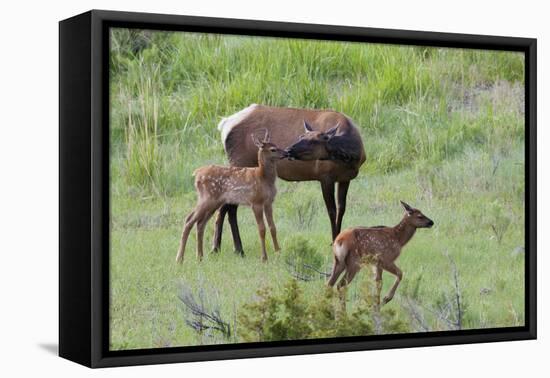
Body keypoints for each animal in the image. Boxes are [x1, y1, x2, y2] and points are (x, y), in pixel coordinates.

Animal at [177, 130, 288, 262]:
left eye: (276, 144)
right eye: (273, 149)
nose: (286, 153)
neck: (263, 178)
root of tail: (197, 174)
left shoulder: (268, 202)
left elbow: (272, 227)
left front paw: (278, 252)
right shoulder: (255, 202)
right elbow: (261, 229)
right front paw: (264, 257)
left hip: (213, 202)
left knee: (200, 223)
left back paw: (199, 257)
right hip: (207, 198)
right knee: (189, 220)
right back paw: (180, 259)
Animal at [215, 105, 366, 255]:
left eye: (313, 141)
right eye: (301, 136)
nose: (288, 150)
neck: (351, 157)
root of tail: (224, 124)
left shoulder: (345, 178)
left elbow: (341, 209)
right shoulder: (325, 176)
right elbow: (332, 211)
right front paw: (333, 241)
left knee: (229, 207)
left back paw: (233, 248)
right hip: (240, 162)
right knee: (227, 206)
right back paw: (220, 247)